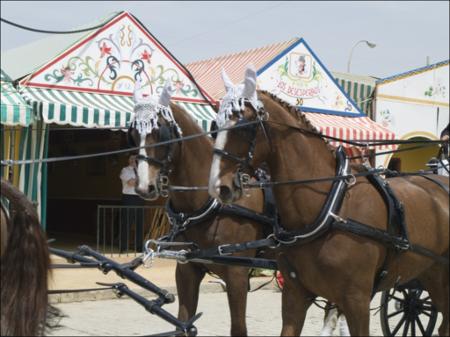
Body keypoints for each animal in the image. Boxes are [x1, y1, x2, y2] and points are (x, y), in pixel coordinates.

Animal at [129, 80, 270, 334]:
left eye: (161, 132)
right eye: (134, 134)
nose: (145, 186)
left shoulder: (237, 274)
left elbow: (238, 328)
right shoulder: (187, 269)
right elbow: (183, 322)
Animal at [209, 67, 448, 334]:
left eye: (244, 126)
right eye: (215, 126)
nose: (219, 187)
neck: (330, 208)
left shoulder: (356, 300)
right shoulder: (294, 295)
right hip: (432, 274)